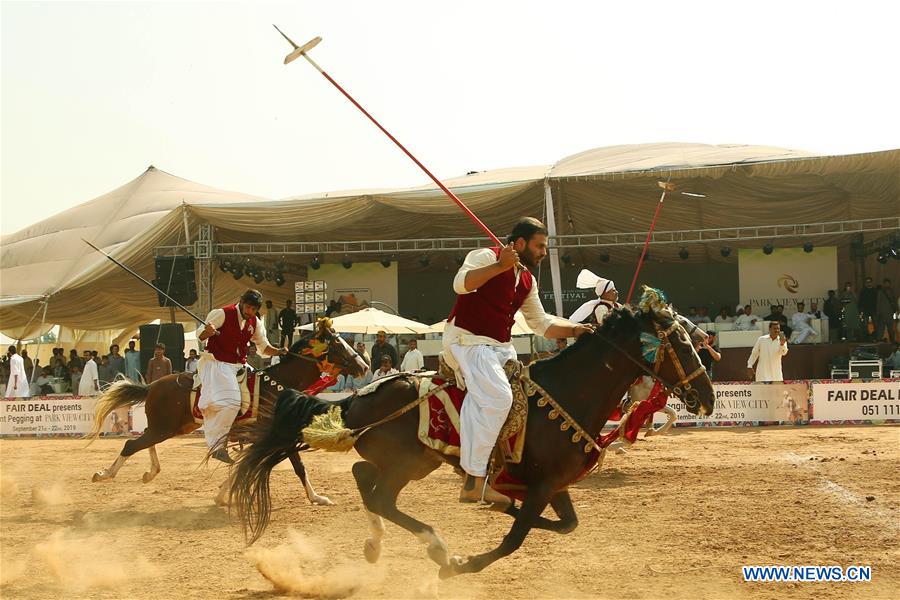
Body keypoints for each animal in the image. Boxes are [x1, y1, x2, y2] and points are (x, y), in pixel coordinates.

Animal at [85, 318, 366, 506]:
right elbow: (297, 466)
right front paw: (317, 497)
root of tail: (152, 386)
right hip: (164, 428)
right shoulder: (274, 437)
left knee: (143, 440)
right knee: (131, 445)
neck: (275, 387)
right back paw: (104, 474)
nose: (364, 365)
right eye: (338, 343)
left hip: (169, 428)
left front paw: (222, 494)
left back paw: (150, 471)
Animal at [229, 302, 712, 580]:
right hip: (407, 464)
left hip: (414, 462)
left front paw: (498, 502)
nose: (706, 397)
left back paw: (377, 544)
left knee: (363, 476)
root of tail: (357, 399)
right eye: (681, 343)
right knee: (379, 495)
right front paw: (465, 562)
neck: (569, 391)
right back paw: (438, 549)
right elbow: (515, 539)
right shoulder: (543, 484)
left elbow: (563, 524)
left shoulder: (553, 485)